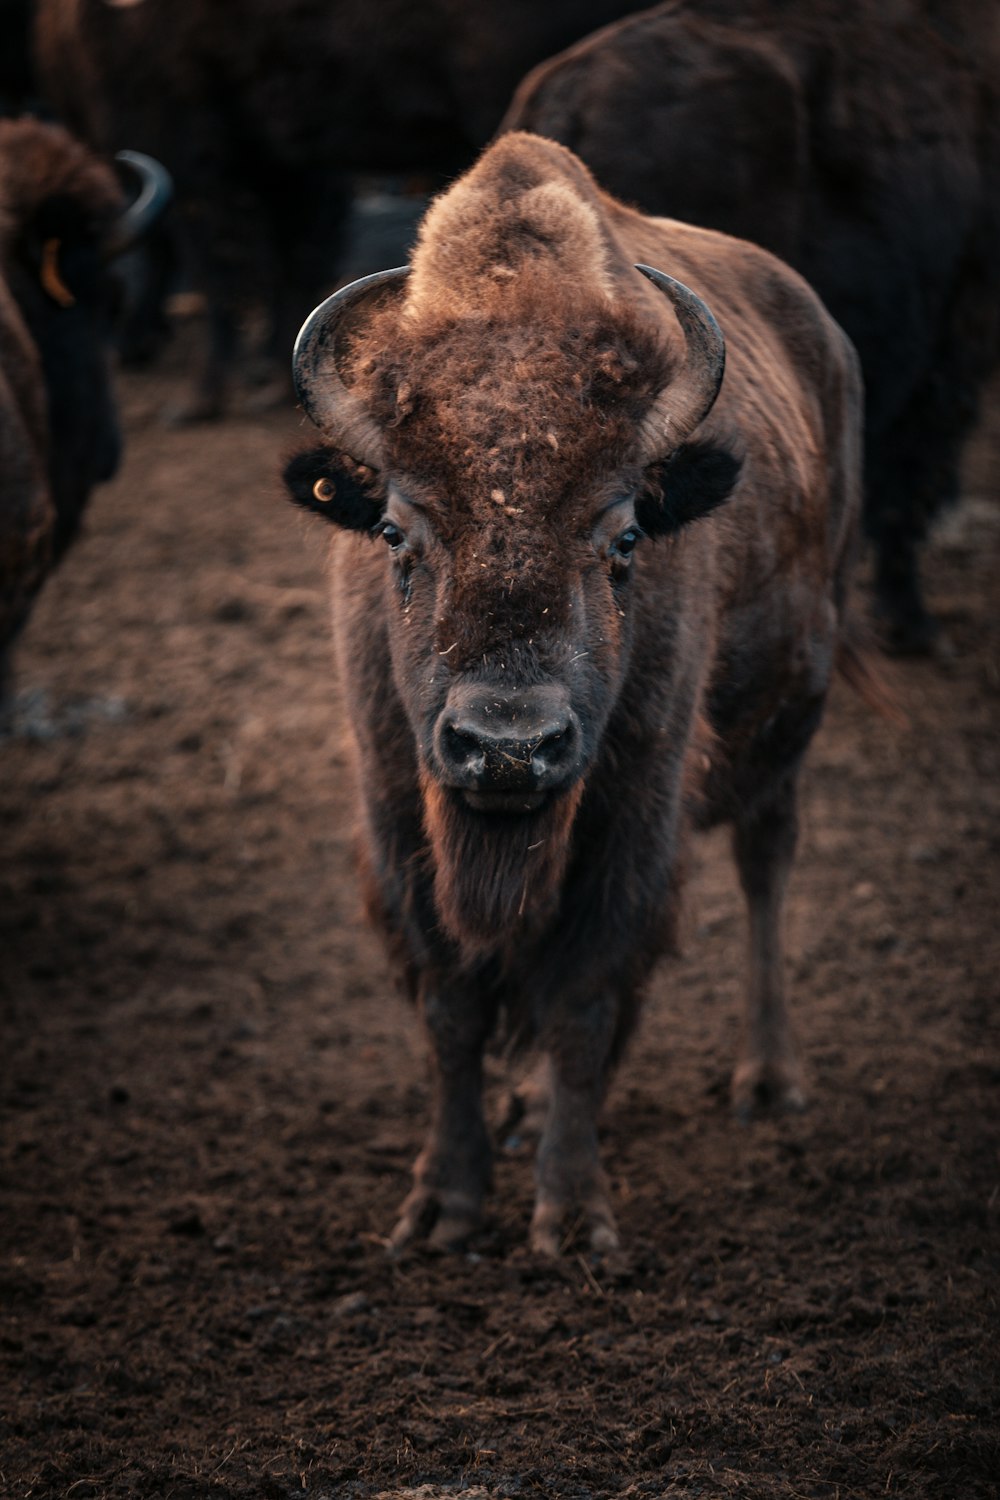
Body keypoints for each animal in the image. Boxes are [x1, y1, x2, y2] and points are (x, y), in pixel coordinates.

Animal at [35, 0, 644, 426]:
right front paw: (268, 377)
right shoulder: (284, 161)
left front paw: (199, 399)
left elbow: (213, 266)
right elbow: (290, 256)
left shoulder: (182, 146)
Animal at [283, 129, 869, 1254]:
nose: (509, 747)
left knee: (767, 863)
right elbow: (452, 1006)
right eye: (395, 535)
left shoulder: (631, 813)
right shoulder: (399, 811)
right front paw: (441, 1209)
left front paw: (572, 1217)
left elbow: (583, 996)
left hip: (796, 706)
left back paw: (768, 1081)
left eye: (625, 537)